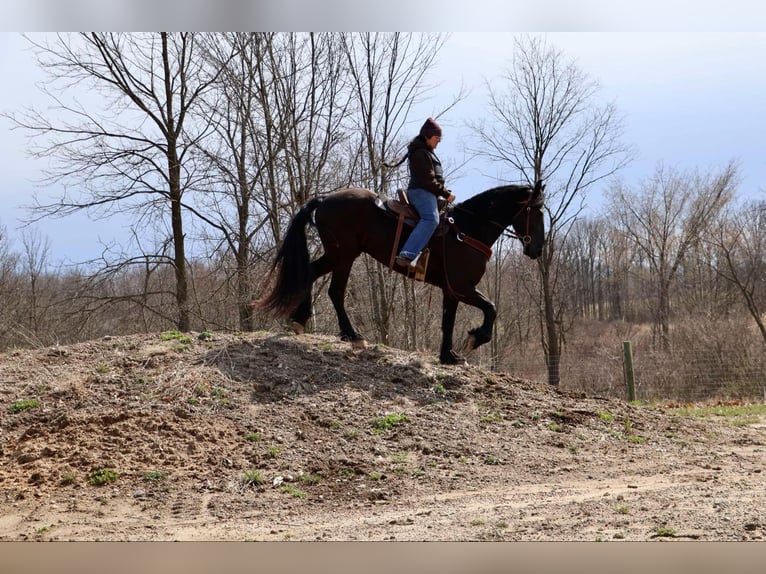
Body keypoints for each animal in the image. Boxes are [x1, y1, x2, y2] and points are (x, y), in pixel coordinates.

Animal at [257, 180, 545, 364]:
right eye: (536, 211)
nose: (537, 248)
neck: (466, 230)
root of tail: (326, 199)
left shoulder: (451, 291)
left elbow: (448, 321)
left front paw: (448, 356)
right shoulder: (463, 288)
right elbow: (491, 308)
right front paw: (475, 339)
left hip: (336, 255)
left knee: (312, 273)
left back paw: (299, 319)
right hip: (345, 256)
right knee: (335, 291)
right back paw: (352, 335)